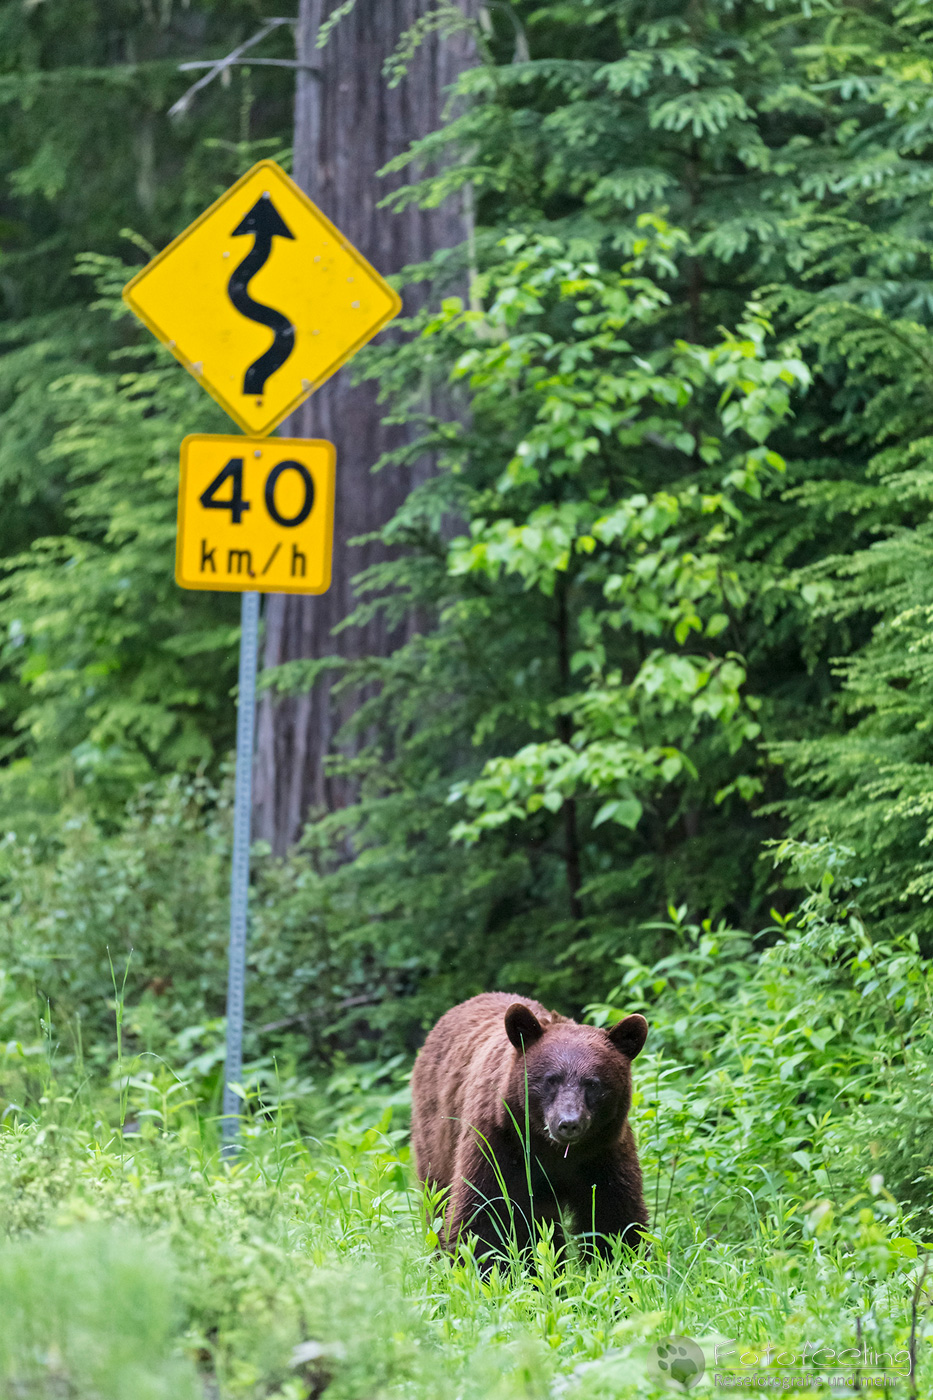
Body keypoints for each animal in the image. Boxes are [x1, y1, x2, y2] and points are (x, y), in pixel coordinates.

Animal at [410, 991, 648, 1263]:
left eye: (593, 1084)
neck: (552, 1150)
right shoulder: (499, 1142)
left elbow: (615, 1216)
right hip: (436, 1133)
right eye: (551, 1079)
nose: (568, 1123)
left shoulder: (603, 1151)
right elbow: (485, 1213)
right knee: (437, 1196)